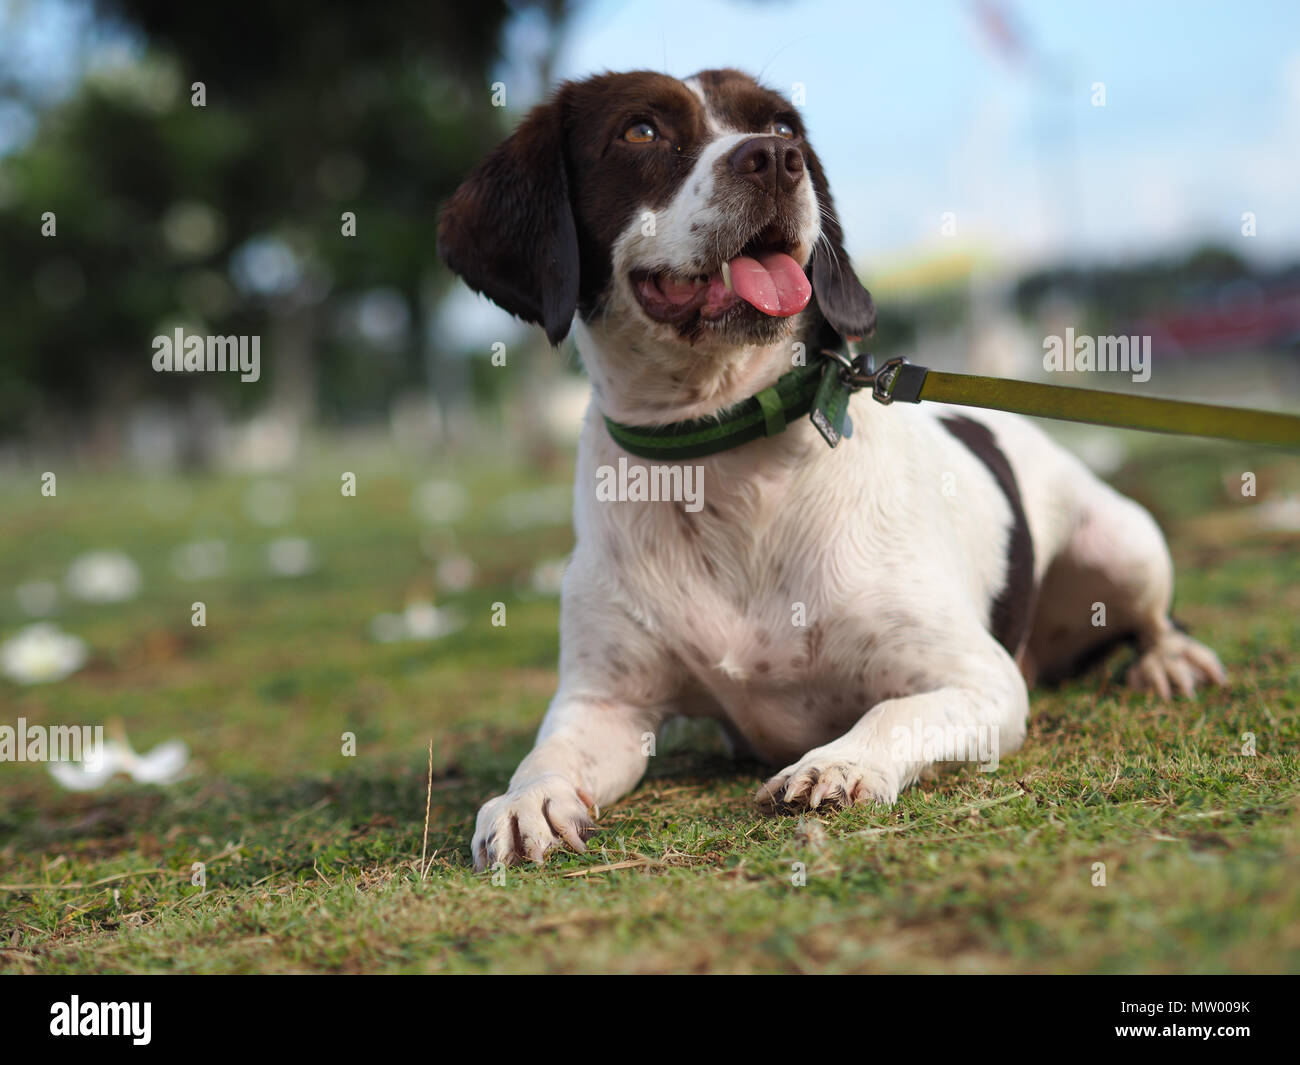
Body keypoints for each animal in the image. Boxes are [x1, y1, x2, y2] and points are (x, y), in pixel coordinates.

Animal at [439, 66, 1227, 868]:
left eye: (785, 127)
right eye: (640, 131)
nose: (773, 159)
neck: (727, 458)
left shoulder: (978, 680)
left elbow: (890, 715)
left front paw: (838, 761)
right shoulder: (605, 703)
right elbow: (547, 755)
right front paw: (526, 798)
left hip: (1124, 545)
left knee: (1154, 615)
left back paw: (1169, 659)